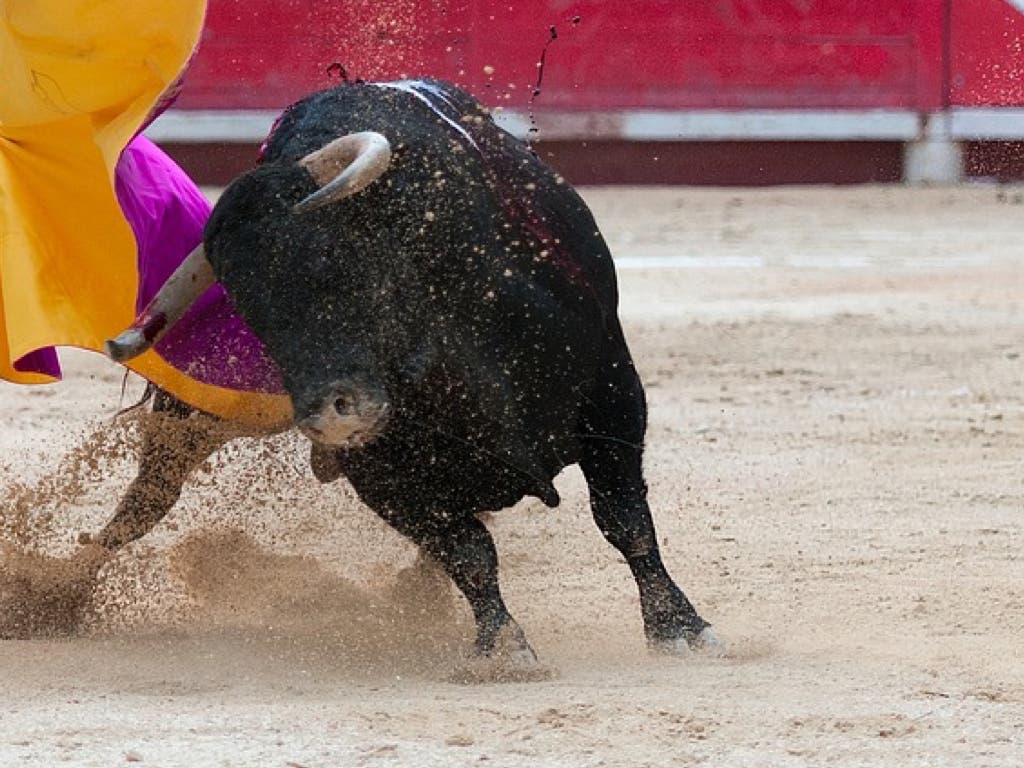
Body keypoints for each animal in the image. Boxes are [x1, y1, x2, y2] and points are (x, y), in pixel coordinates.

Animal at [6, 79, 720, 671]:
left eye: (335, 263)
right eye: (250, 312)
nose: (328, 416)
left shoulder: (612, 395)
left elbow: (624, 518)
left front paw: (679, 628)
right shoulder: (382, 474)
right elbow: (468, 552)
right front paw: (502, 649)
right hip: (196, 418)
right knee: (145, 502)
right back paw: (52, 598)